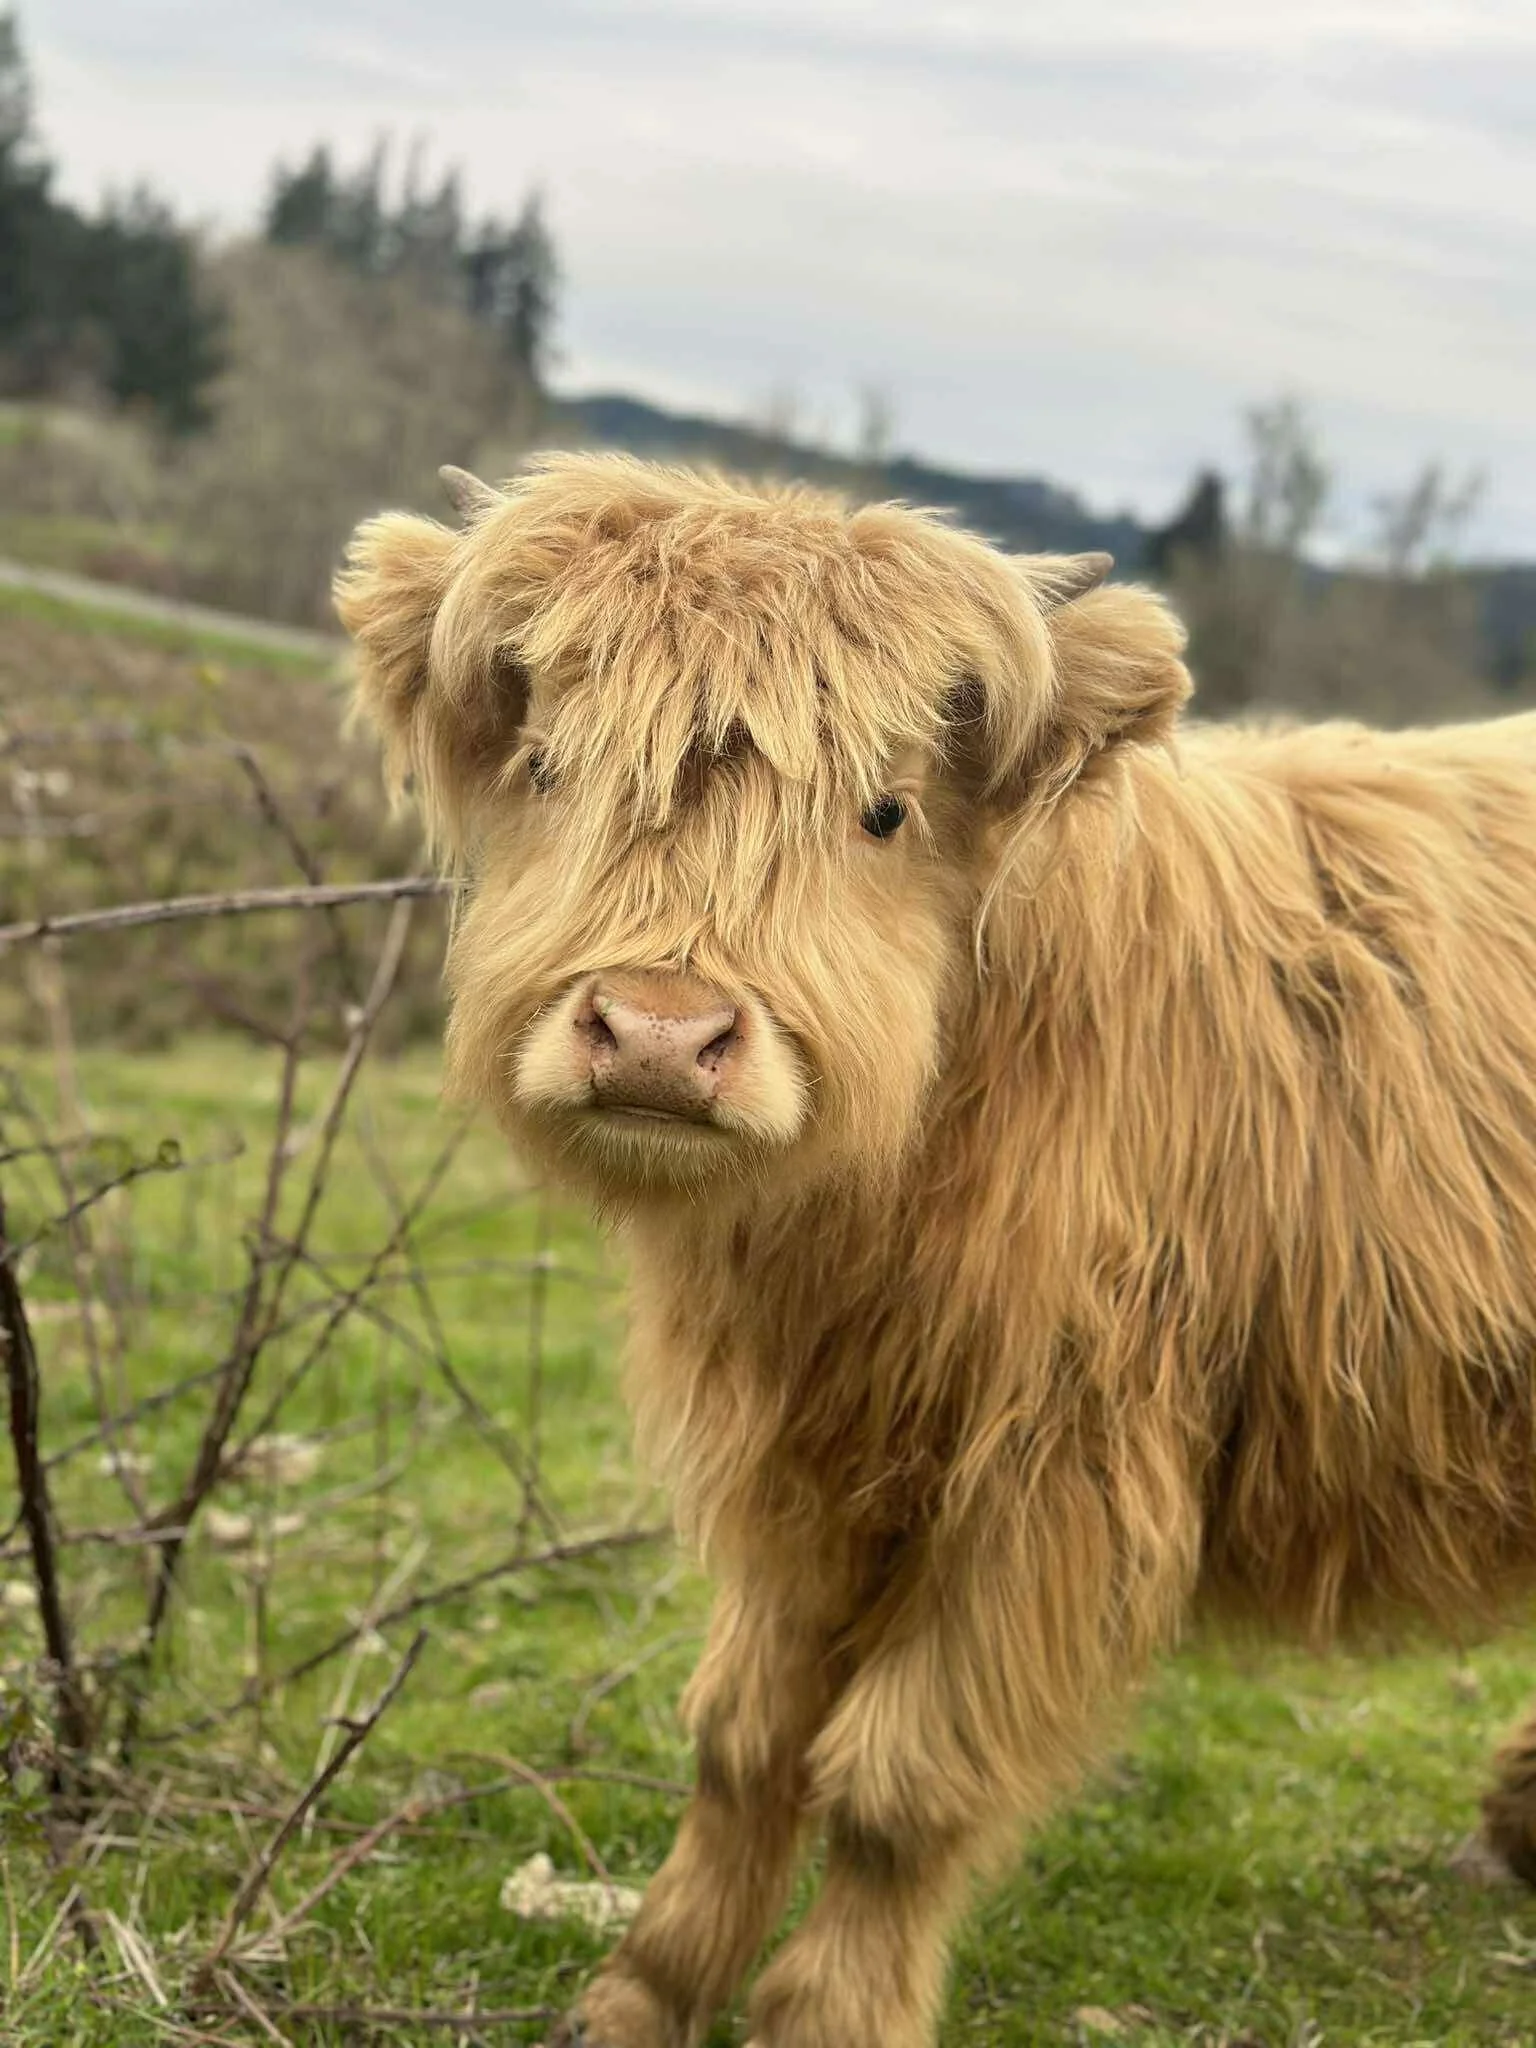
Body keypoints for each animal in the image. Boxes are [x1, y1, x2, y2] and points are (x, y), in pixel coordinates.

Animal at [337, 453, 1536, 2048]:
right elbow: (744, 1739)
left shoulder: (1056, 1474)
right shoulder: (807, 1460)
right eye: (547, 768)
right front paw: (645, 1988)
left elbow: (903, 1781)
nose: (658, 1032)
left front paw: (825, 2013)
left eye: (884, 811)